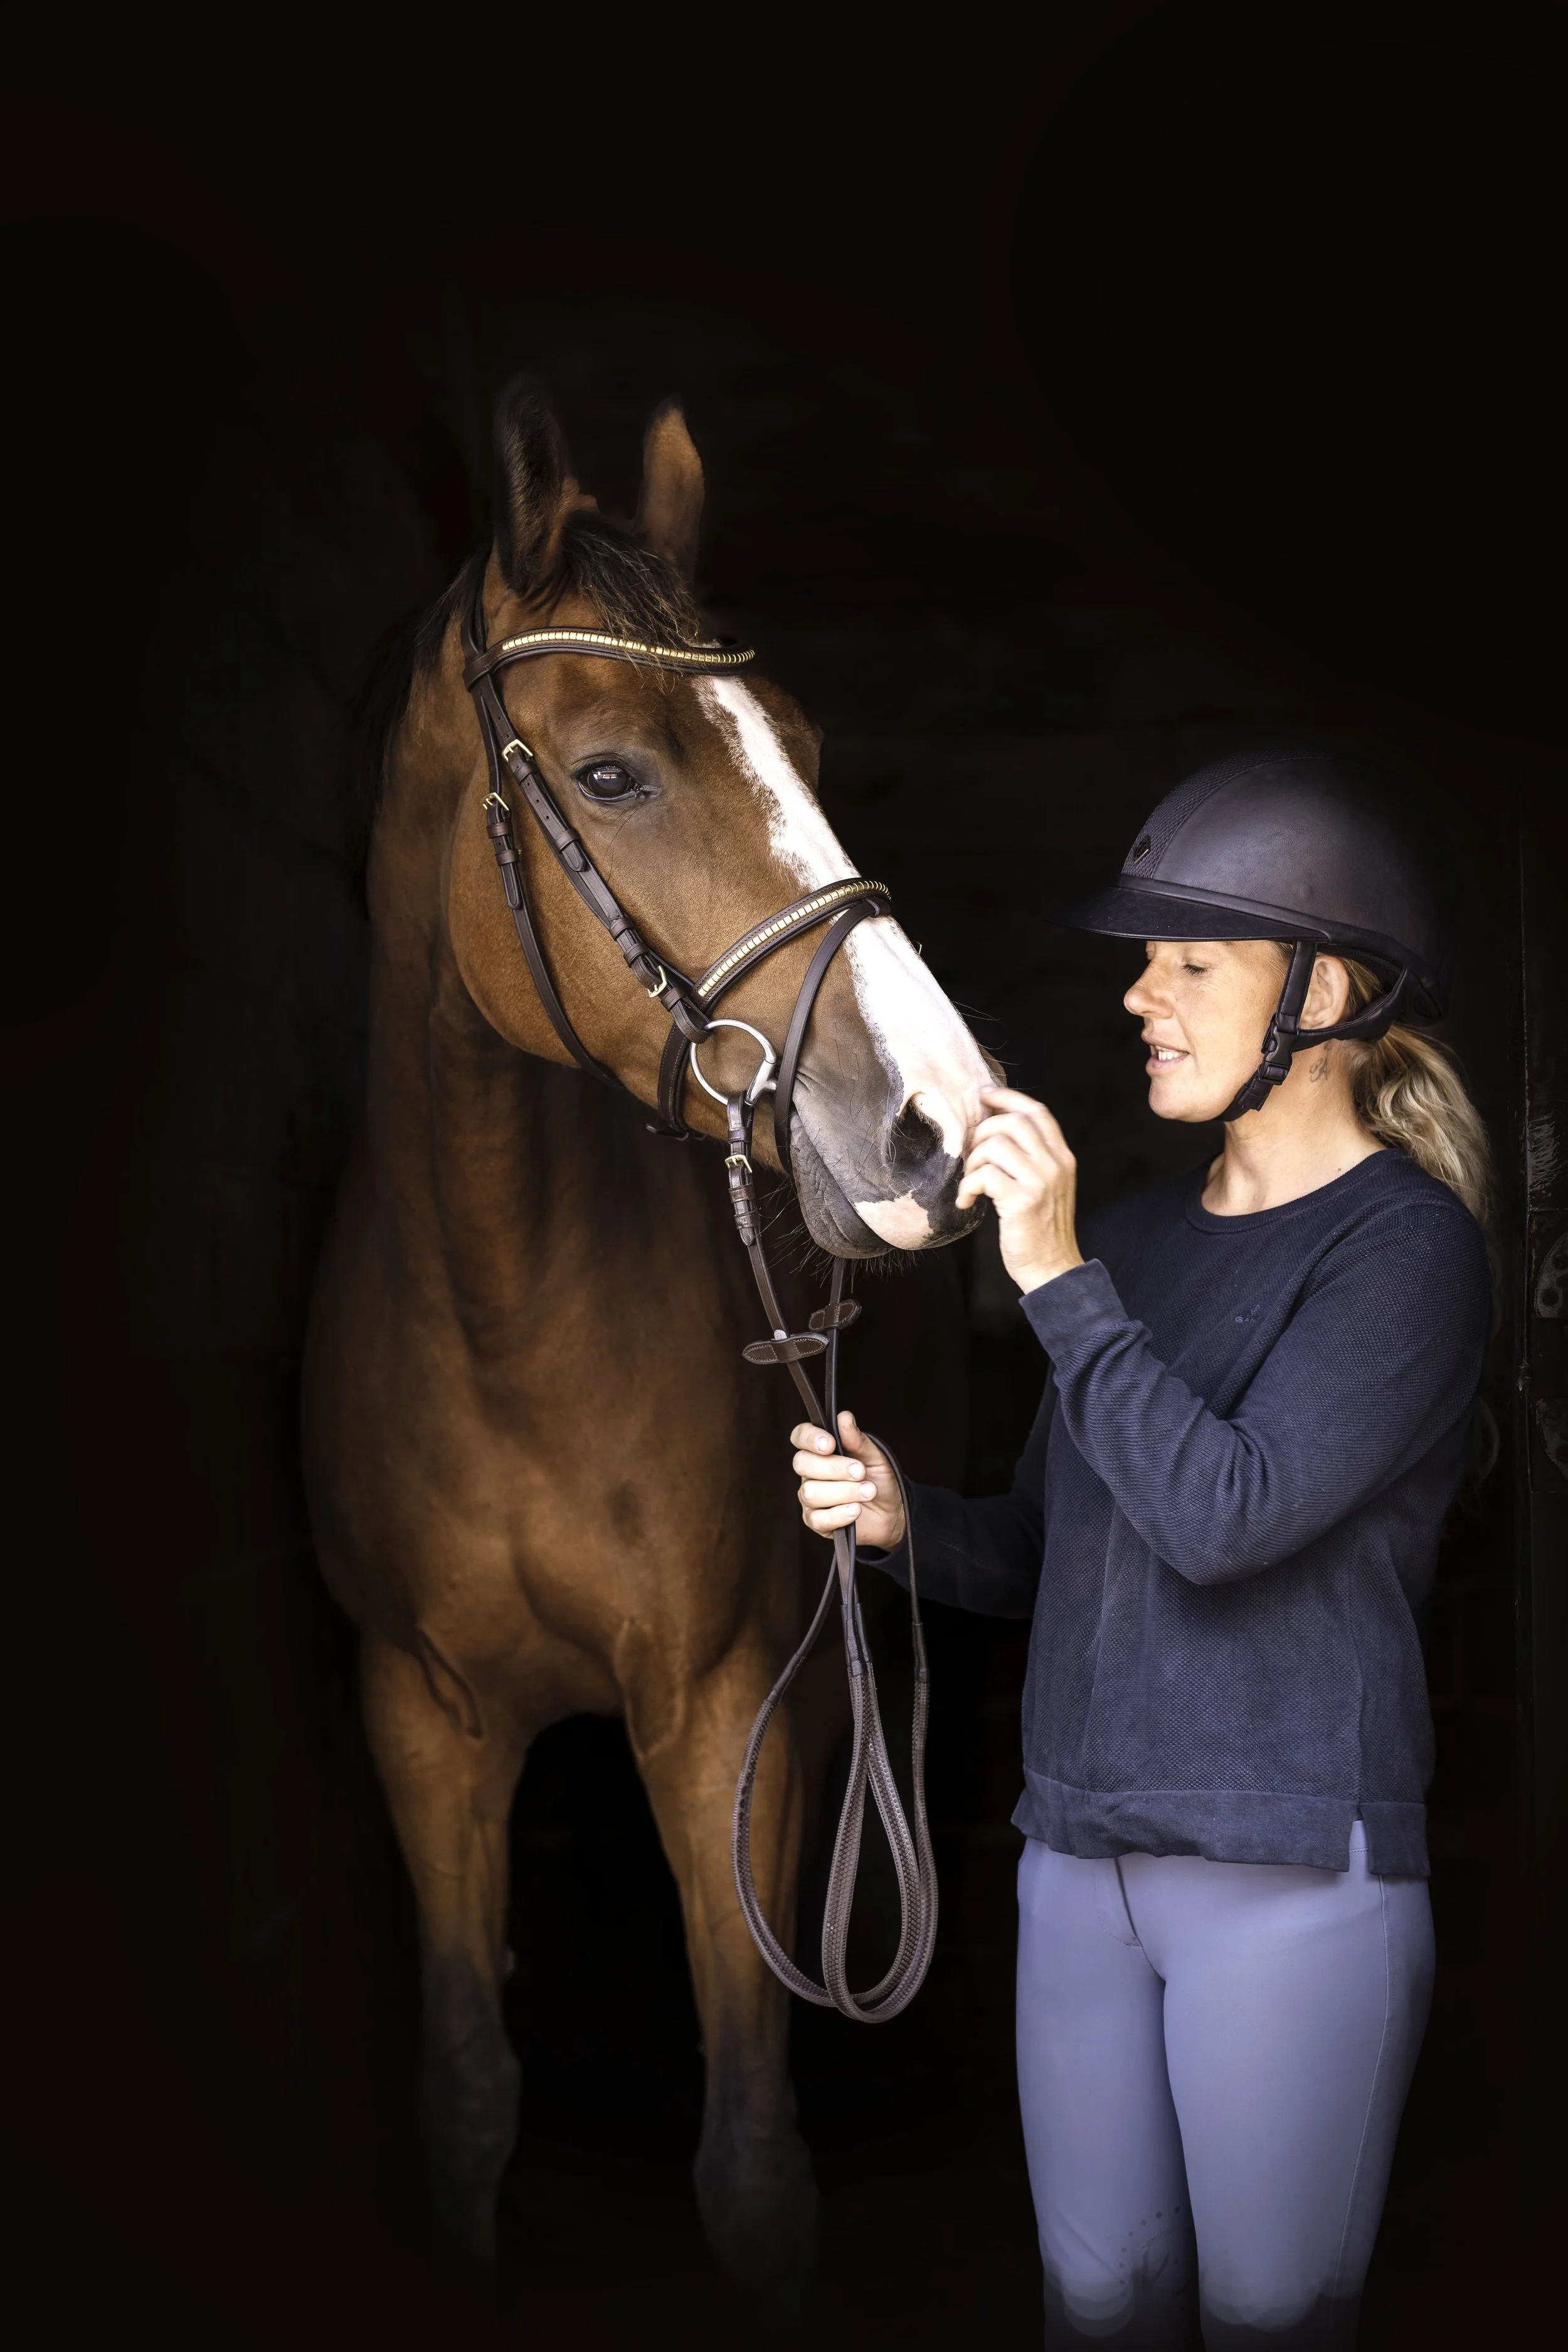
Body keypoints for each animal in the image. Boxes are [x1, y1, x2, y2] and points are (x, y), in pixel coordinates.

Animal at [301, 380, 993, 2301]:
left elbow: (750, 2156)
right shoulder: (421, 1715)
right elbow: (465, 2085)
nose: (939, 1122)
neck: (501, 1322)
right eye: (612, 772)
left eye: (807, 742)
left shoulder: (718, 1718)